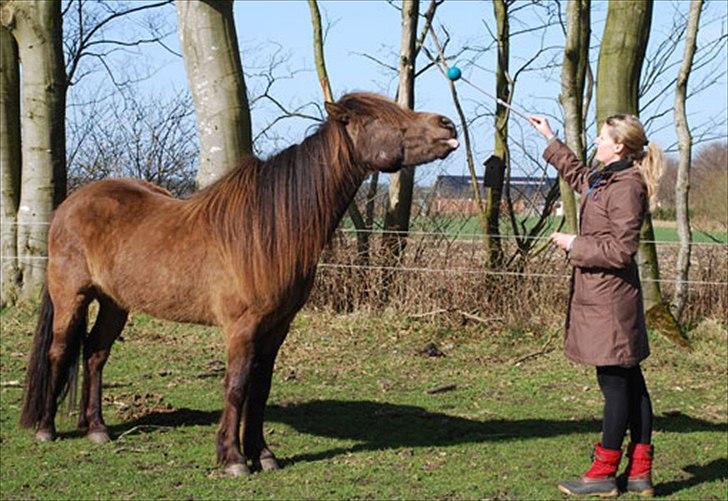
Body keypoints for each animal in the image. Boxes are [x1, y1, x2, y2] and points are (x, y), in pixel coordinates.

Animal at [19, 93, 458, 472]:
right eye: (378, 120)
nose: (447, 125)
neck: (268, 230)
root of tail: (68, 205)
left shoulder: (277, 328)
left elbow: (260, 388)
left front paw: (262, 454)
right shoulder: (241, 329)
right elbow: (236, 385)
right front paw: (232, 459)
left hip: (115, 303)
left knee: (95, 354)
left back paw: (96, 429)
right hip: (71, 297)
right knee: (59, 352)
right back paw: (45, 429)